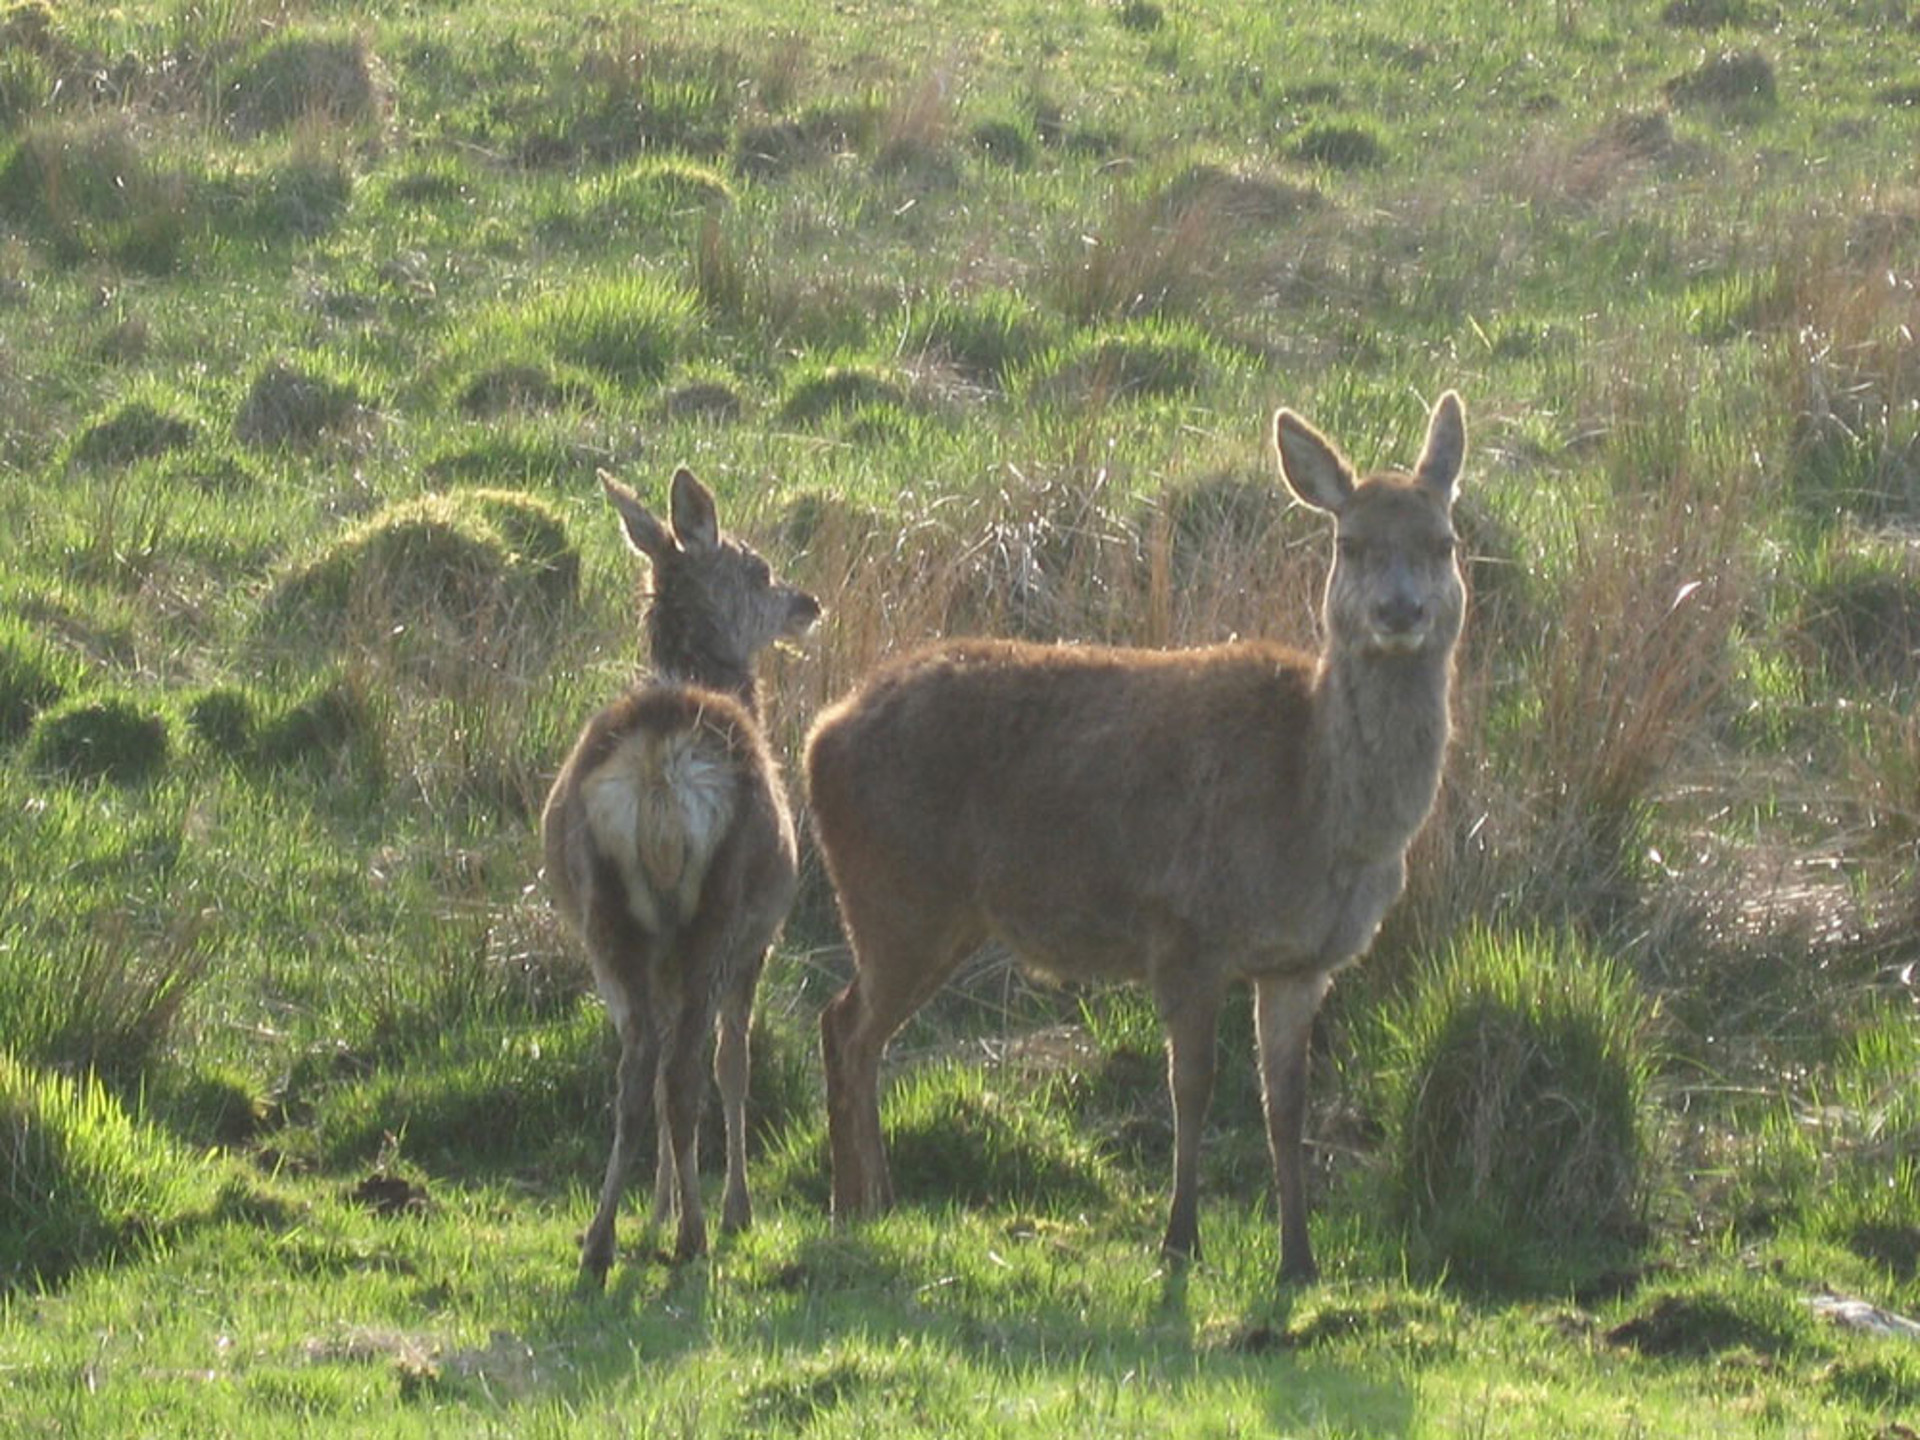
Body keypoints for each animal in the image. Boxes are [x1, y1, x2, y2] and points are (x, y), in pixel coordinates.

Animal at [541, 468, 817, 1282]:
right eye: (758, 569)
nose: (807, 602)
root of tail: (661, 779)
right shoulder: (762, 939)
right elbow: (736, 1064)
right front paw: (732, 1209)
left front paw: (656, 1210)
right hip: (721, 909)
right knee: (687, 1071)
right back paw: (697, 1235)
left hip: (605, 916)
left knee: (638, 1072)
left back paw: (601, 1239)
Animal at [802, 389, 1459, 1282]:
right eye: (1349, 543)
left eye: (1444, 543)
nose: (1400, 611)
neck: (1320, 816)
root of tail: (818, 733)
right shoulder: (1187, 930)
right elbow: (1194, 1086)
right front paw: (1179, 1240)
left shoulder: (1303, 963)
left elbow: (1283, 1105)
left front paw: (1299, 1259)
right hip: (895, 894)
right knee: (846, 1026)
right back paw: (854, 1202)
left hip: (932, 911)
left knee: (855, 1028)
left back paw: (878, 1199)